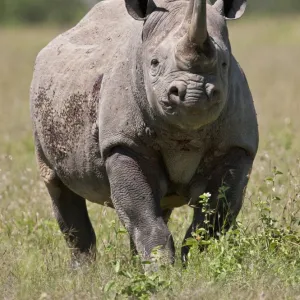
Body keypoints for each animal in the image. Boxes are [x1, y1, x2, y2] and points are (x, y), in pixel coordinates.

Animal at [29, 0, 258, 264]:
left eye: (224, 63)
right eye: (154, 63)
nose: (194, 94)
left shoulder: (236, 146)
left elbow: (214, 218)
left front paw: (193, 263)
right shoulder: (124, 143)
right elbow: (142, 215)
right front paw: (161, 269)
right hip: (43, 98)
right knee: (57, 184)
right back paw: (85, 270)